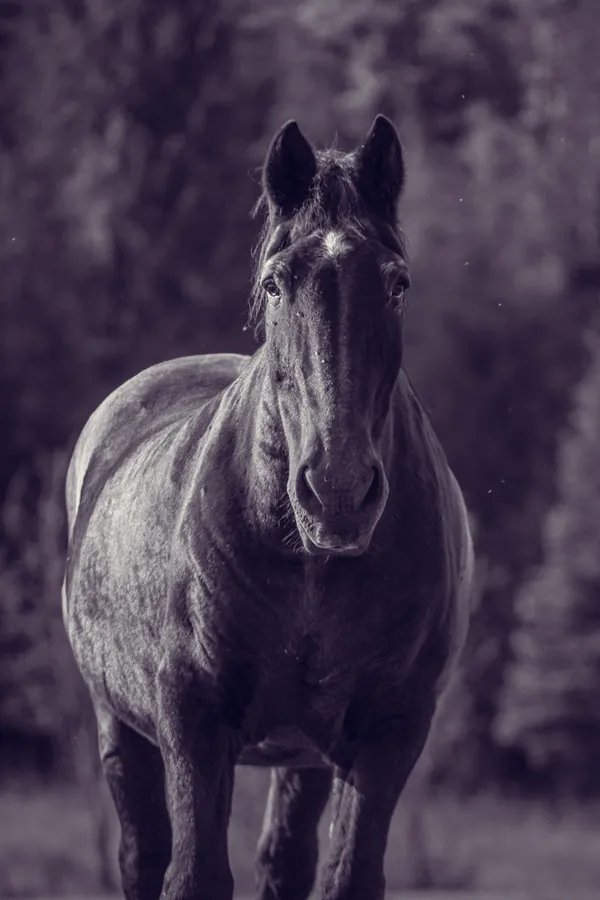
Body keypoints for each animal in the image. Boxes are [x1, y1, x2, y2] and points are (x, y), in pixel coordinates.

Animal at [63, 115, 475, 900]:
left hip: (303, 758)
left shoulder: (391, 732)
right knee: (140, 853)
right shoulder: (192, 719)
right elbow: (191, 873)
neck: (309, 565)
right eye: (276, 282)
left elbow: (347, 876)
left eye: (397, 283)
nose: (338, 490)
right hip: (121, 729)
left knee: (285, 861)